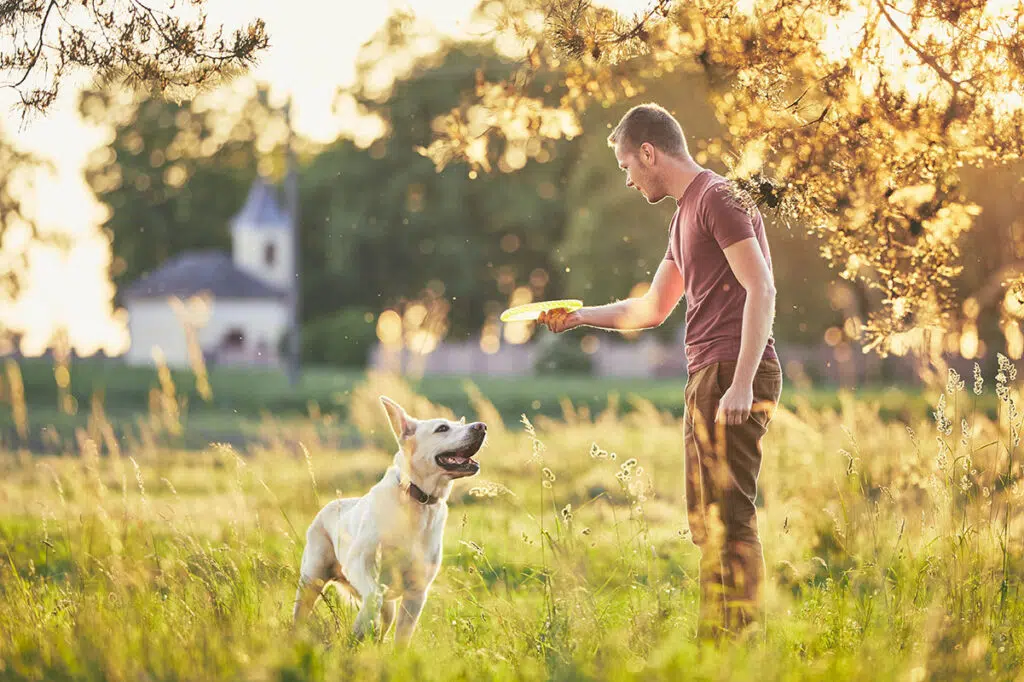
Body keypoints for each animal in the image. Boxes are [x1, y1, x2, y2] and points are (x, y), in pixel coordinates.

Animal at [292, 393, 487, 643]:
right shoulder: (360, 564)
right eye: (442, 428)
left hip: (389, 608)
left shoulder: (416, 593)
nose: (481, 426)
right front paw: (362, 625)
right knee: (303, 613)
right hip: (311, 579)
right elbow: (374, 595)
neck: (417, 502)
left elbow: (401, 639)